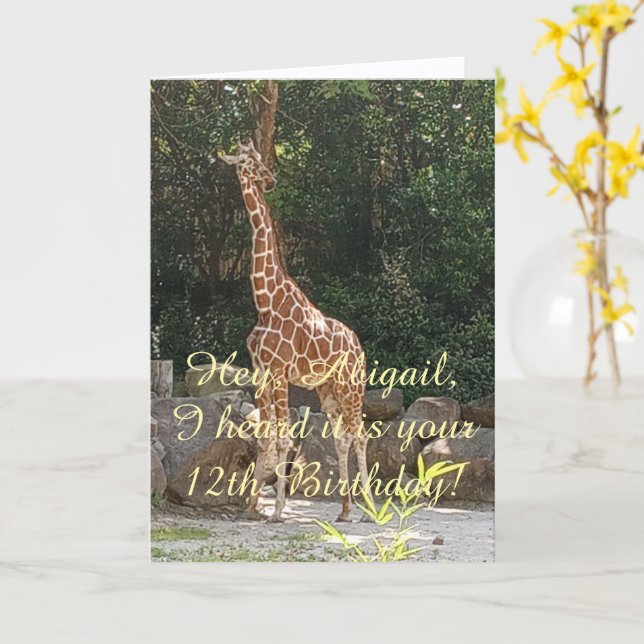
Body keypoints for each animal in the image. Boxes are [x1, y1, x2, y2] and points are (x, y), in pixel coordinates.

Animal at [221, 139, 370, 523]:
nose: (270, 179)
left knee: (361, 435)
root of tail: (359, 345)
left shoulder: (279, 372)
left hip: (352, 387)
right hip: (328, 392)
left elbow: (284, 440)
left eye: (259, 158)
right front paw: (252, 507)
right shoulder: (261, 372)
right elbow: (265, 438)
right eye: (245, 161)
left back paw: (371, 509)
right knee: (341, 439)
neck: (264, 300)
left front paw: (277, 510)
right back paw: (345, 510)